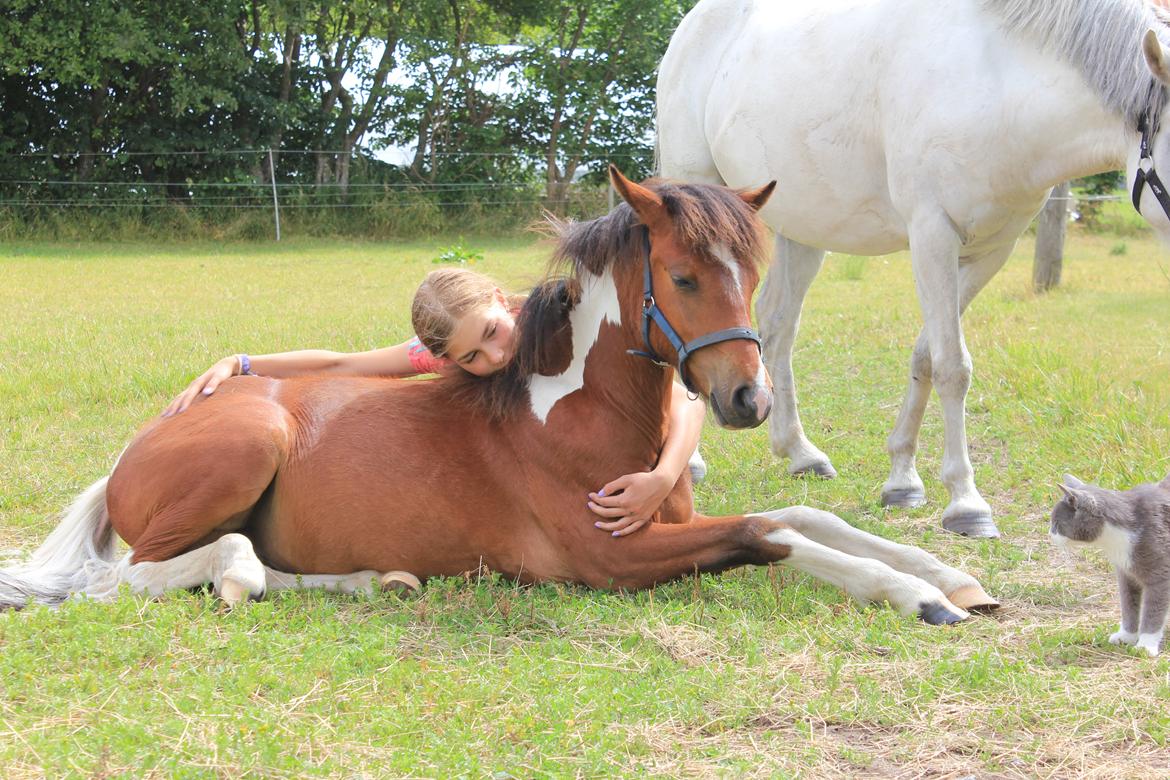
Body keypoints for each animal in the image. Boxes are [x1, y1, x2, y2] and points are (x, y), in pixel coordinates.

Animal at [0, 169, 996, 622]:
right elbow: (769, 533)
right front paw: (920, 597)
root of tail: (131, 454)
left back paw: (374, 578)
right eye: (681, 277)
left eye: (749, 275)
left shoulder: (668, 519)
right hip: (246, 448)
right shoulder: (607, 562)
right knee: (146, 574)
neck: (573, 416)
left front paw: (950, 574)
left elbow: (801, 513)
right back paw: (247, 578)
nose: (747, 400)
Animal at [664, 0, 1170, 537]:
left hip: (802, 230)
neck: (997, 79)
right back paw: (691, 463)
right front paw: (967, 504)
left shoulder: (991, 251)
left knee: (778, 323)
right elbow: (952, 367)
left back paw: (801, 453)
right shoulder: (932, 235)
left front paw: (902, 480)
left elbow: (926, 357)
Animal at [1053, 472, 1170, 654]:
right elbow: (1128, 605)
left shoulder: (1161, 576)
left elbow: (1154, 610)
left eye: (1056, 524)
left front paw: (1145, 646)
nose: (1050, 535)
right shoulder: (1125, 574)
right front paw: (1126, 637)